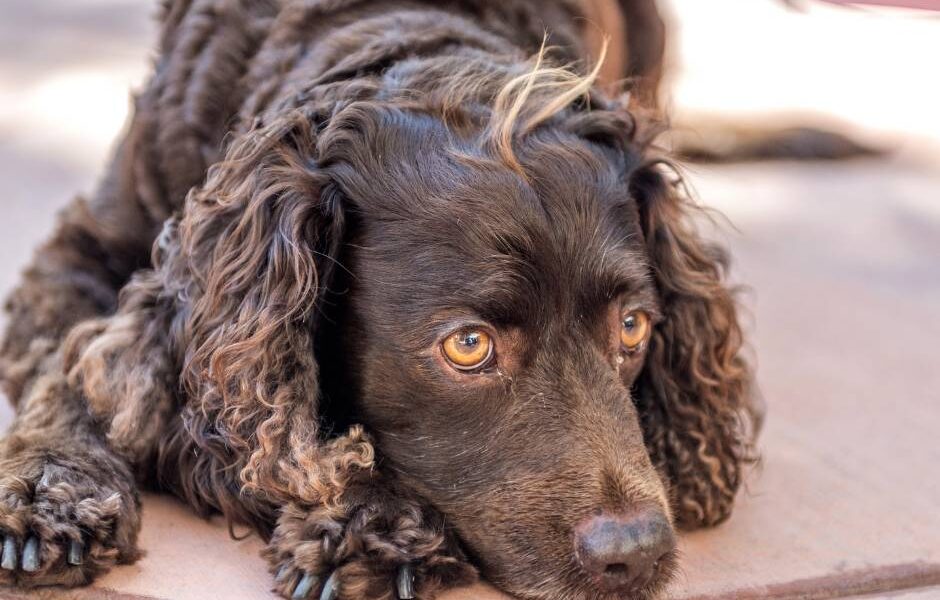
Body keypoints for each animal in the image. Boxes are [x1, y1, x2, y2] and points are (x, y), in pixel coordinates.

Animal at [0, 1, 756, 600]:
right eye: (468, 345)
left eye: (631, 327)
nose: (637, 554)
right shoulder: (81, 254)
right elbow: (70, 369)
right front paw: (48, 490)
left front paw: (370, 518)